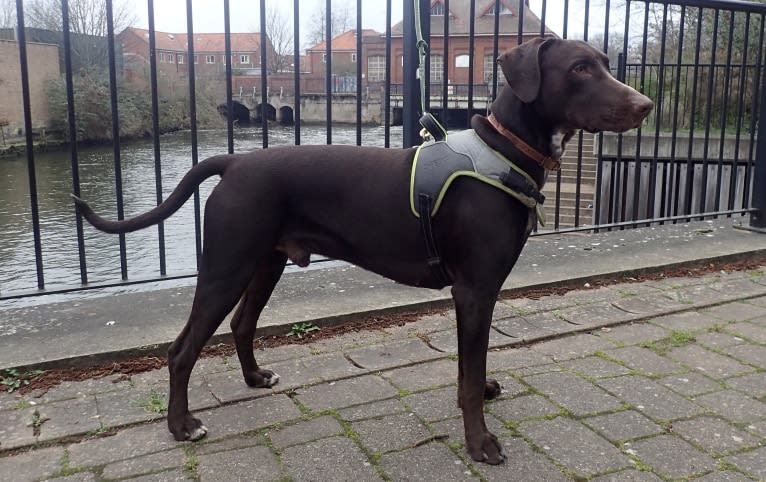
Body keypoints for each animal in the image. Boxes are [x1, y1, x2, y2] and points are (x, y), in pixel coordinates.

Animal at [75, 39, 656, 466]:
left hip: (266, 263)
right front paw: (480, 442)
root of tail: (233, 163)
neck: (503, 150)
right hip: (225, 267)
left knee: (241, 324)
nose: (646, 104)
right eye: (579, 67)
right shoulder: (474, 292)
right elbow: (467, 378)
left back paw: (255, 379)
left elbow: (473, 367)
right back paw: (182, 426)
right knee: (181, 350)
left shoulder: (480, 295)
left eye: (607, 64)